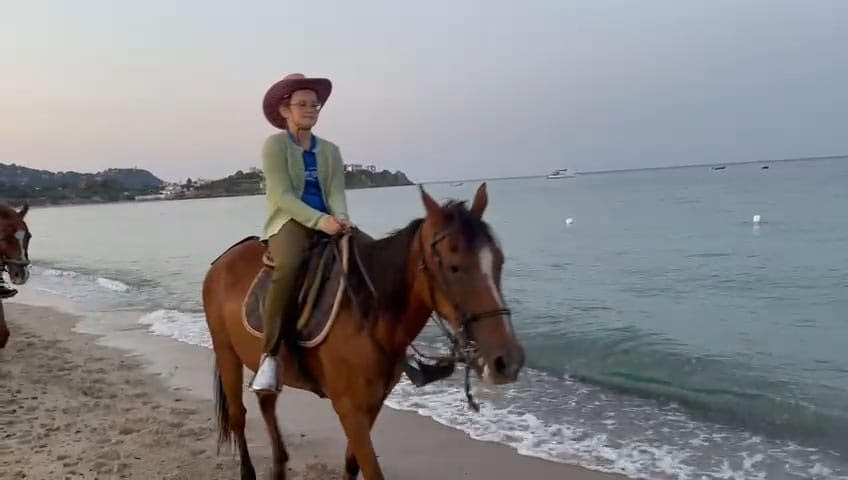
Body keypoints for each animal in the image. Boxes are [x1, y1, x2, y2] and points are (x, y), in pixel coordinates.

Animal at [202, 184, 525, 480]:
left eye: (499, 262)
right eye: (454, 268)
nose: (507, 362)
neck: (368, 310)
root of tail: (221, 262)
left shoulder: (372, 404)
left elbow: (352, 464)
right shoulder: (349, 409)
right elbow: (371, 470)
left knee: (266, 403)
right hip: (226, 353)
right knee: (238, 417)